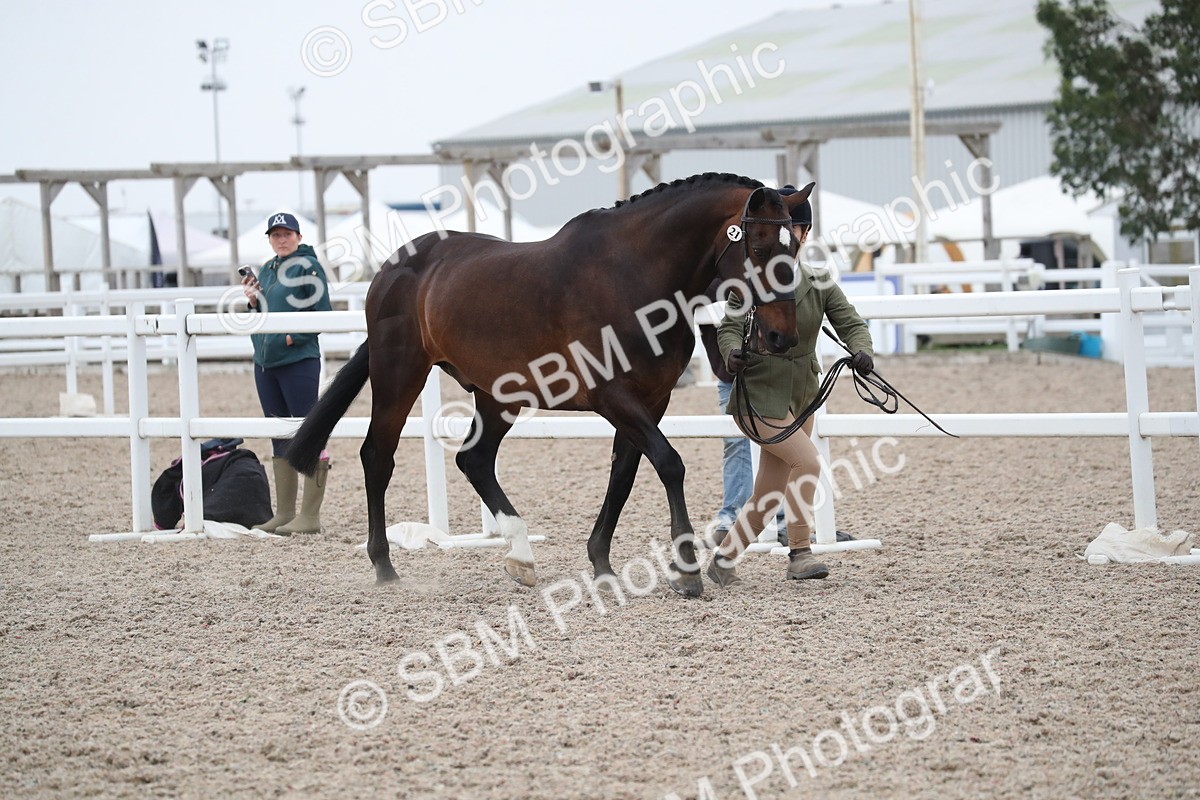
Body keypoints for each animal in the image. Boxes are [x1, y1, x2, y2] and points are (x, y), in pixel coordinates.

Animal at [287, 173, 814, 597]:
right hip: (400, 374)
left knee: (474, 460)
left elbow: (624, 475)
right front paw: (685, 570)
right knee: (378, 457)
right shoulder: (613, 396)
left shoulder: (651, 400)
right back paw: (385, 567)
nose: (781, 337)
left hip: (497, 396)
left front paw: (601, 564)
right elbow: (669, 463)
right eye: (760, 247)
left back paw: (520, 556)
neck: (633, 276)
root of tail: (391, 267)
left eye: (796, 247)